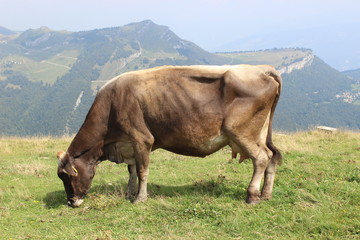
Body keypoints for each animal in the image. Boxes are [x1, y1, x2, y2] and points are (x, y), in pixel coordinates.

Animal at [56, 64, 282, 207]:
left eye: (67, 176)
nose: (71, 202)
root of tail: (260, 69)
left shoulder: (142, 139)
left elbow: (142, 171)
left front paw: (140, 198)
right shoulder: (128, 144)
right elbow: (131, 171)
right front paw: (129, 193)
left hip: (242, 132)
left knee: (262, 158)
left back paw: (252, 196)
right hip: (262, 133)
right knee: (272, 156)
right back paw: (267, 194)